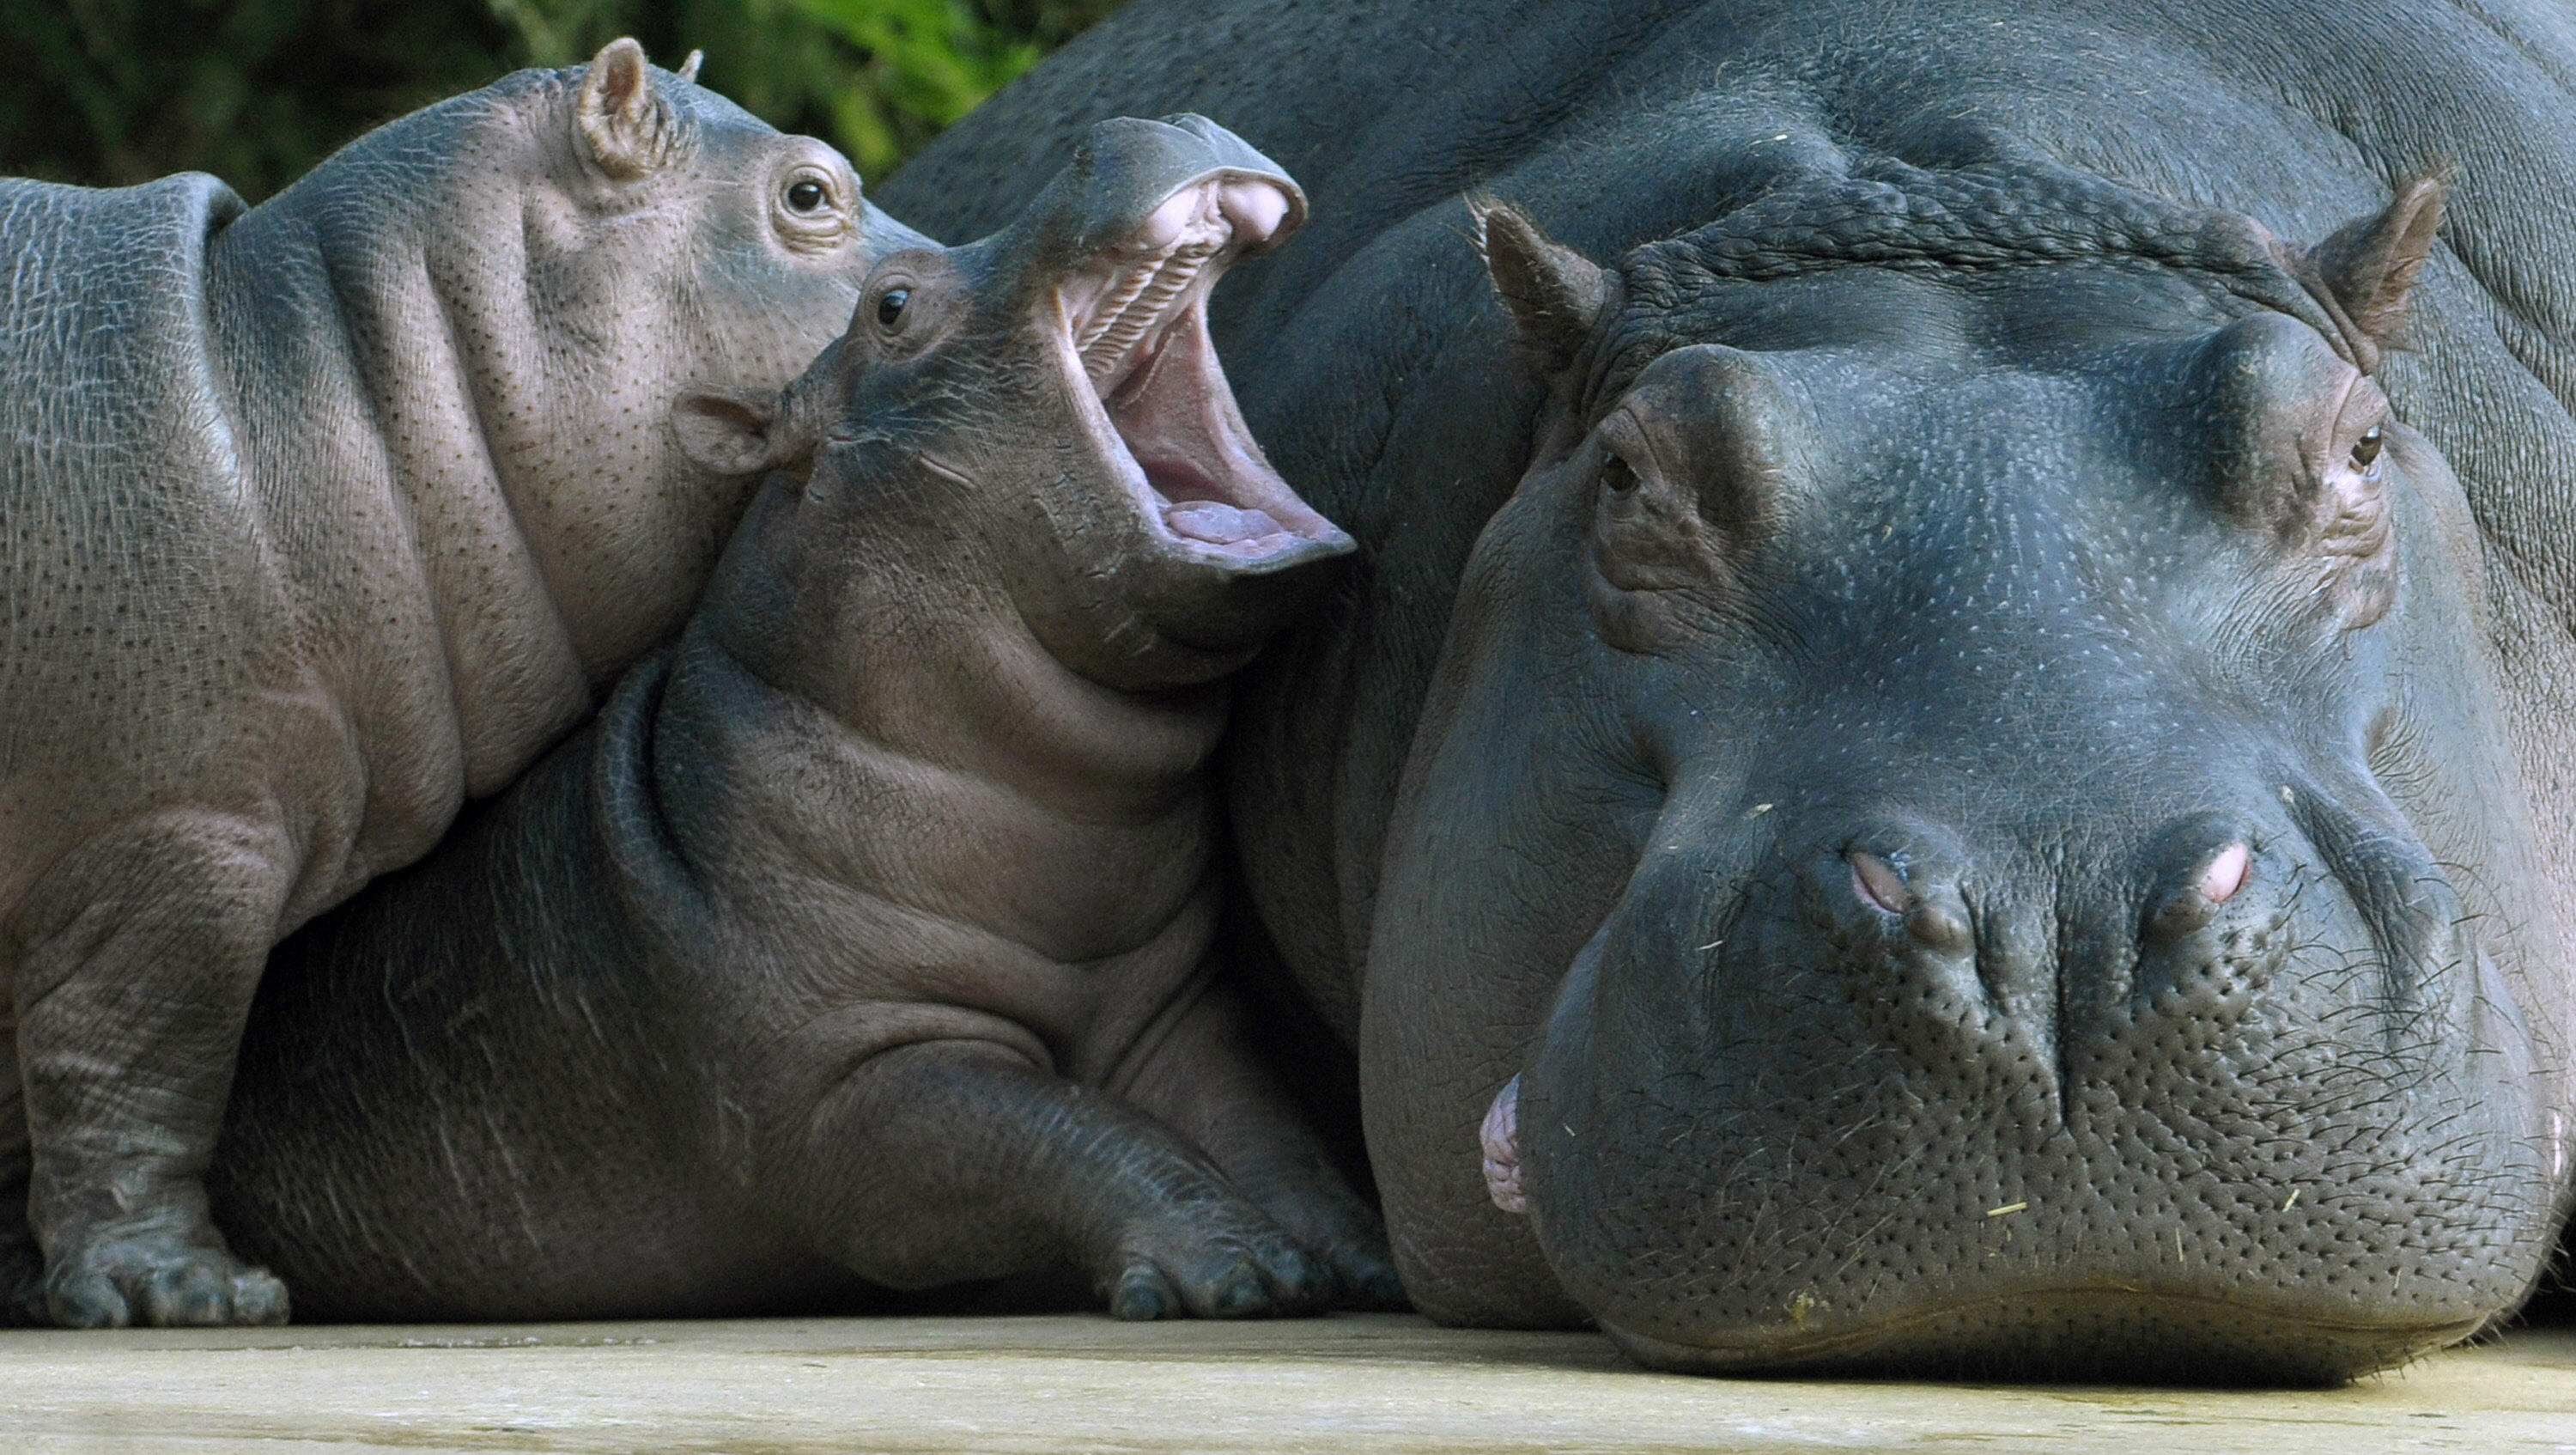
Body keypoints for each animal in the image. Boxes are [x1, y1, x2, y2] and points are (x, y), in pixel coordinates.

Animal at [201, 113, 1401, 1318]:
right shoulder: (852, 1082)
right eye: (893, 305)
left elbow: (1267, 1133)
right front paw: (1238, 1269)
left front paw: (1361, 1256)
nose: (1138, 122)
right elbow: (1065, 1134)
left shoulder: (1175, 1014)